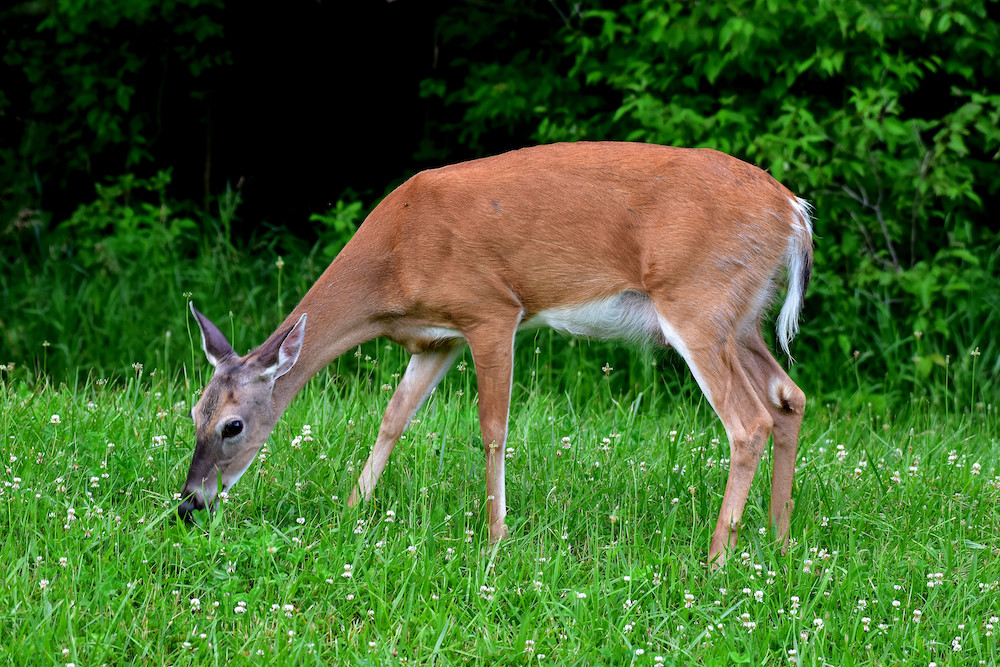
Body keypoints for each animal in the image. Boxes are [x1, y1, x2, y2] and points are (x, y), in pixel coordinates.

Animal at [178, 141, 812, 568]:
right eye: (193, 413)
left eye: (233, 425)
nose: (189, 504)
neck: (394, 263)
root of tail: (793, 212)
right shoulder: (437, 339)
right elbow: (393, 417)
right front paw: (354, 509)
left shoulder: (490, 309)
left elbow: (492, 428)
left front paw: (495, 537)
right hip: (742, 319)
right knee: (789, 396)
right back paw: (779, 541)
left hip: (698, 302)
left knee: (749, 420)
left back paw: (717, 558)